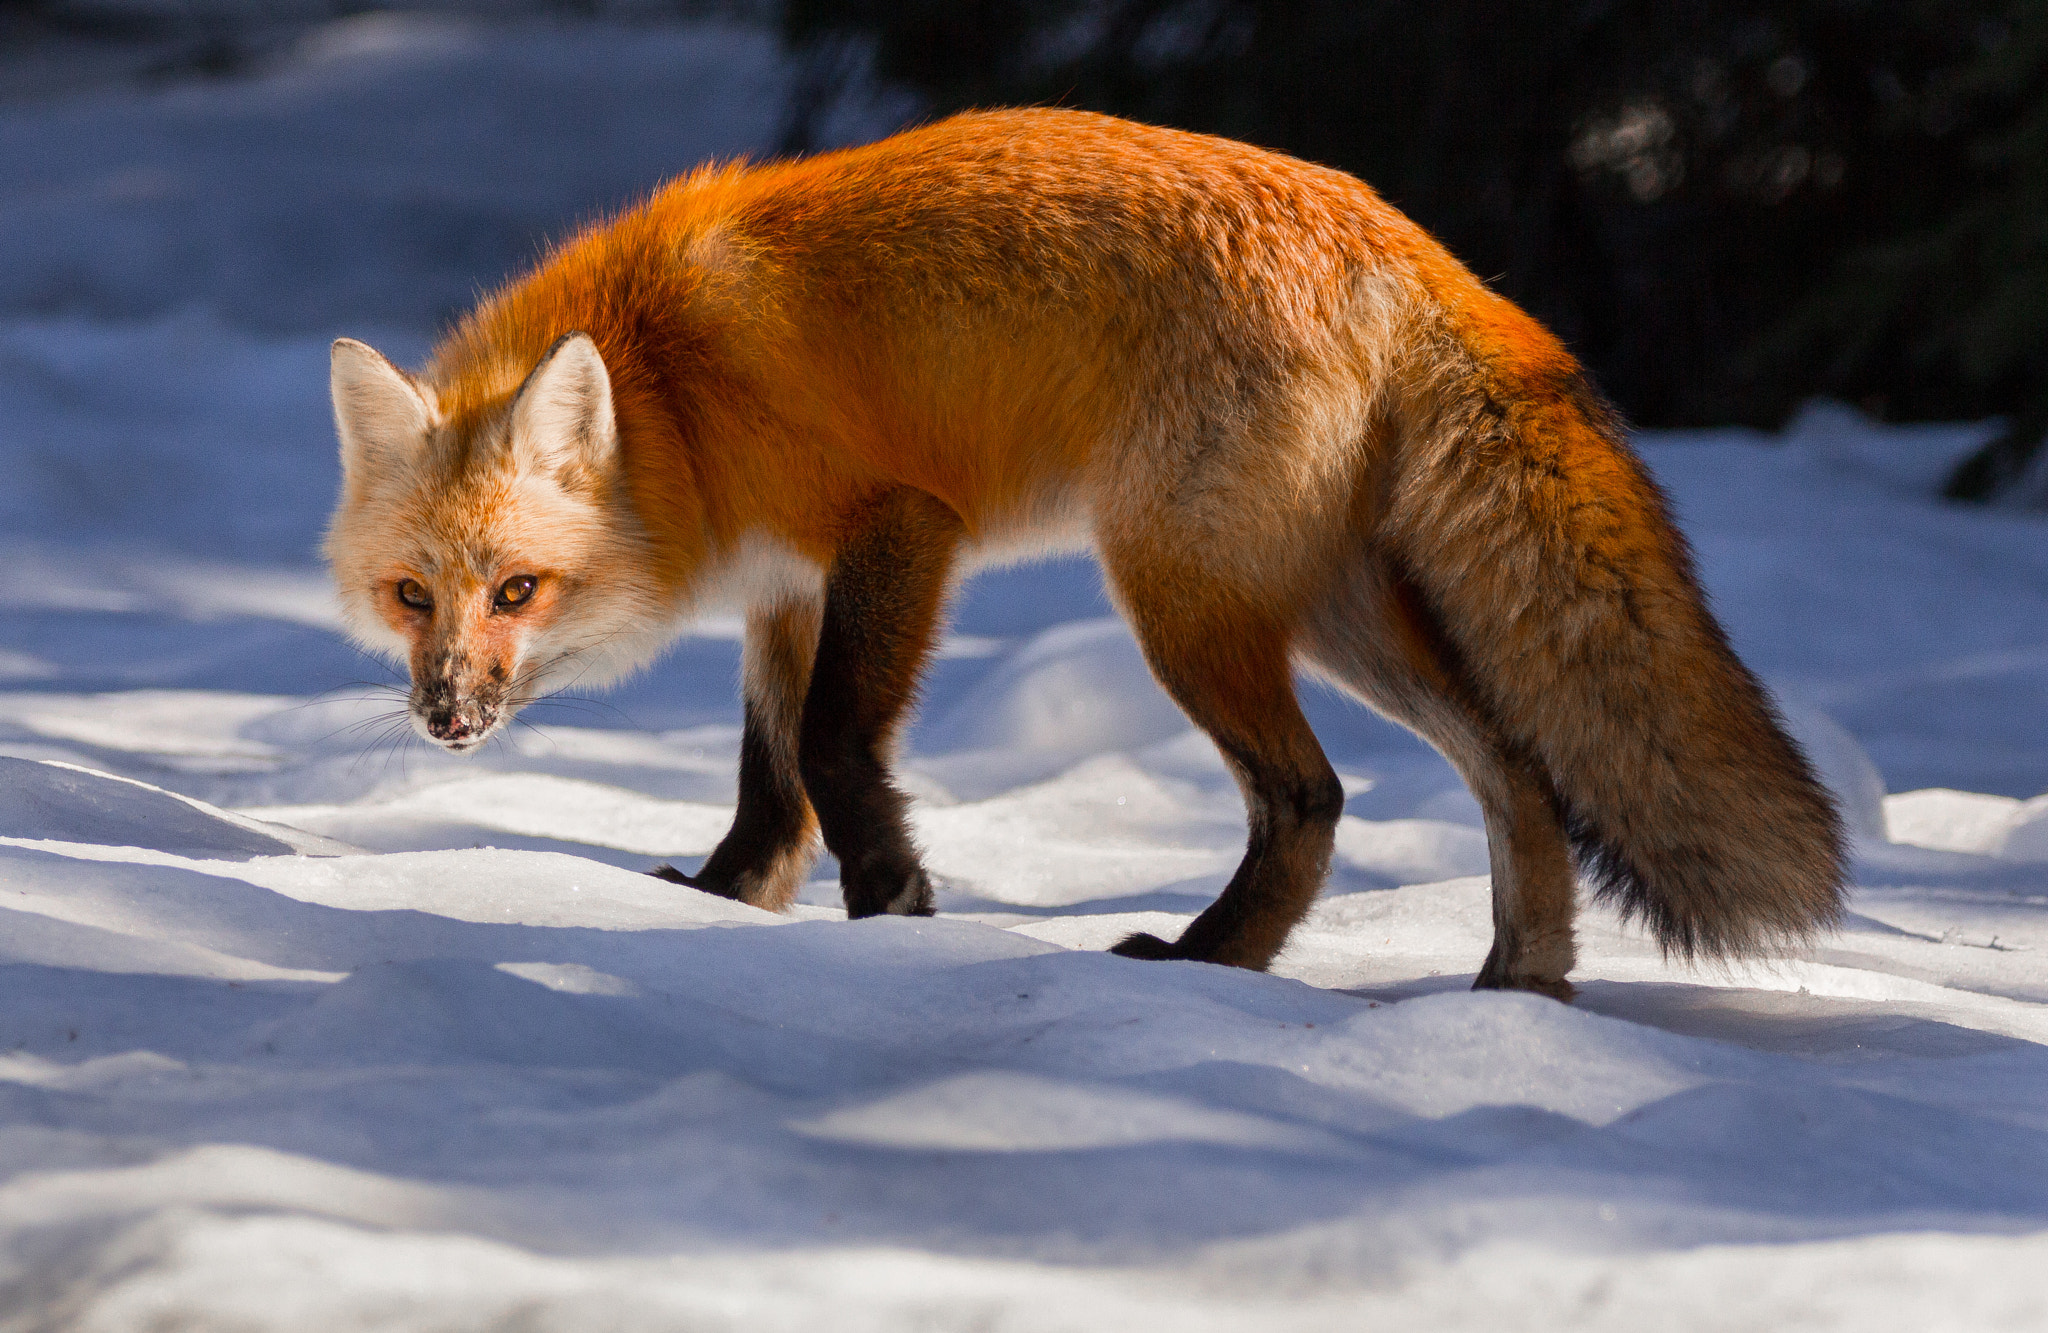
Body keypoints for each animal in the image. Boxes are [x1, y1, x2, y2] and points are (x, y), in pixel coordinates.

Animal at [323, 107, 1844, 999]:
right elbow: (769, 783)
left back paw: (1207, 966)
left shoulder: (897, 529)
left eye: (518, 588)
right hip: (1329, 612)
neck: (673, 394)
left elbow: (829, 747)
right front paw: (727, 907)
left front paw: (894, 906)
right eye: (413, 595)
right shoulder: (785, 590)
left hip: (1178, 600)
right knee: (1515, 771)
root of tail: (1404, 238)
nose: (445, 717)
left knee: (1311, 798)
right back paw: (1513, 996)